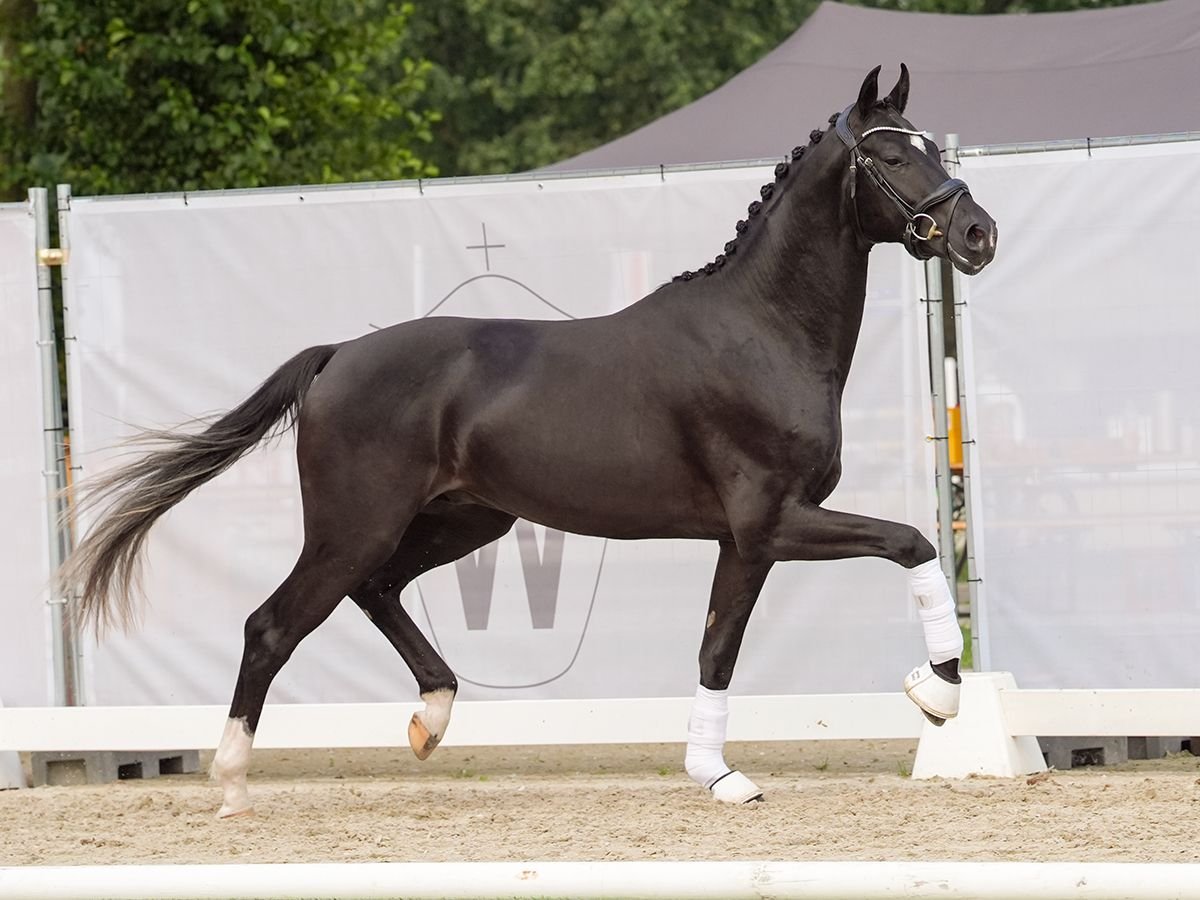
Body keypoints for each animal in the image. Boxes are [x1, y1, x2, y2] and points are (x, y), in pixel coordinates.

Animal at [60, 68, 993, 816]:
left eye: (928, 145)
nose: (978, 234)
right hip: (354, 524)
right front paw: (939, 694)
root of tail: (337, 356)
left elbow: (716, 649)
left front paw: (719, 775)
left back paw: (431, 720)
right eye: (893, 157)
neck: (762, 331)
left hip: (466, 520)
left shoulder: (744, 541)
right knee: (272, 625)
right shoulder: (774, 522)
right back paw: (232, 782)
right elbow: (910, 543)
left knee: (375, 590)